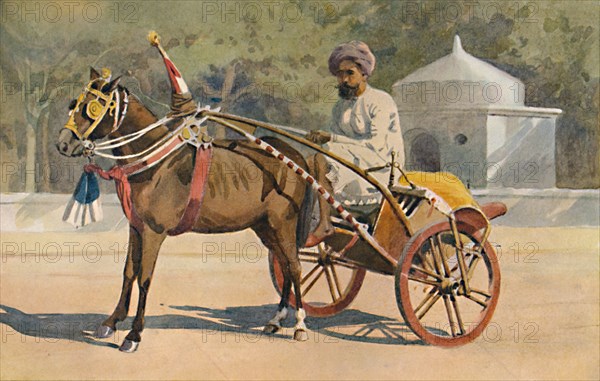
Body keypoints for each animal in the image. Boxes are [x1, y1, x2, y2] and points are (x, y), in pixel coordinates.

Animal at [56, 67, 314, 350]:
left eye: (92, 107)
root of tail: (296, 157)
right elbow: (128, 272)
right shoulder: (136, 227)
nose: (63, 143)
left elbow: (145, 277)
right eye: (74, 103)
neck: (155, 162)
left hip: (283, 223)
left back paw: (300, 325)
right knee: (284, 266)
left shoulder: (153, 232)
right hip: (265, 227)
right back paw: (276, 320)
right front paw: (112, 321)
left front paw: (134, 333)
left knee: (294, 267)